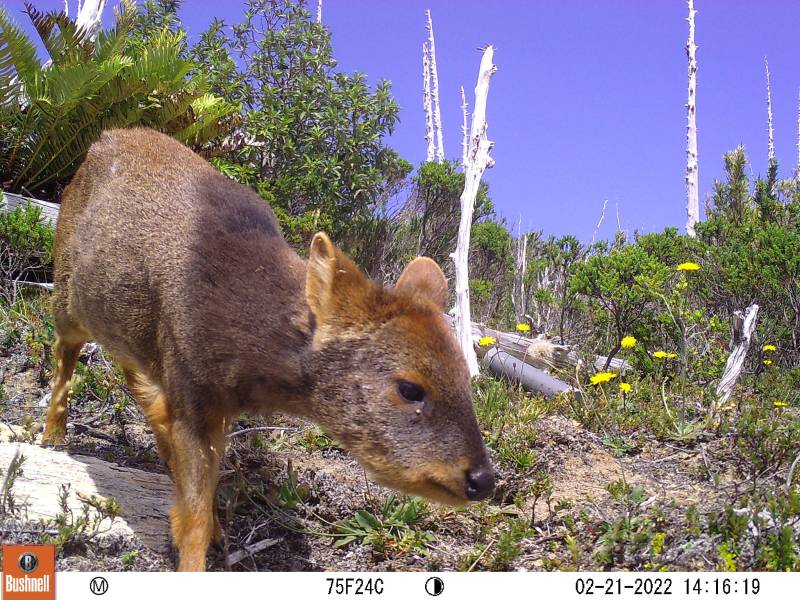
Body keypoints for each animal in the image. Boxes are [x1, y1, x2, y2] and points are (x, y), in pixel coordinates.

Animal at [40, 128, 495, 571]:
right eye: (410, 388)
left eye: (466, 377)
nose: (483, 480)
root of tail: (100, 141)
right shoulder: (191, 387)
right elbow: (194, 518)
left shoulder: (210, 403)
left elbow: (204, 488)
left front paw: (214, 528)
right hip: (65, 291)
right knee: (64, 352)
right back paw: (51, 436)